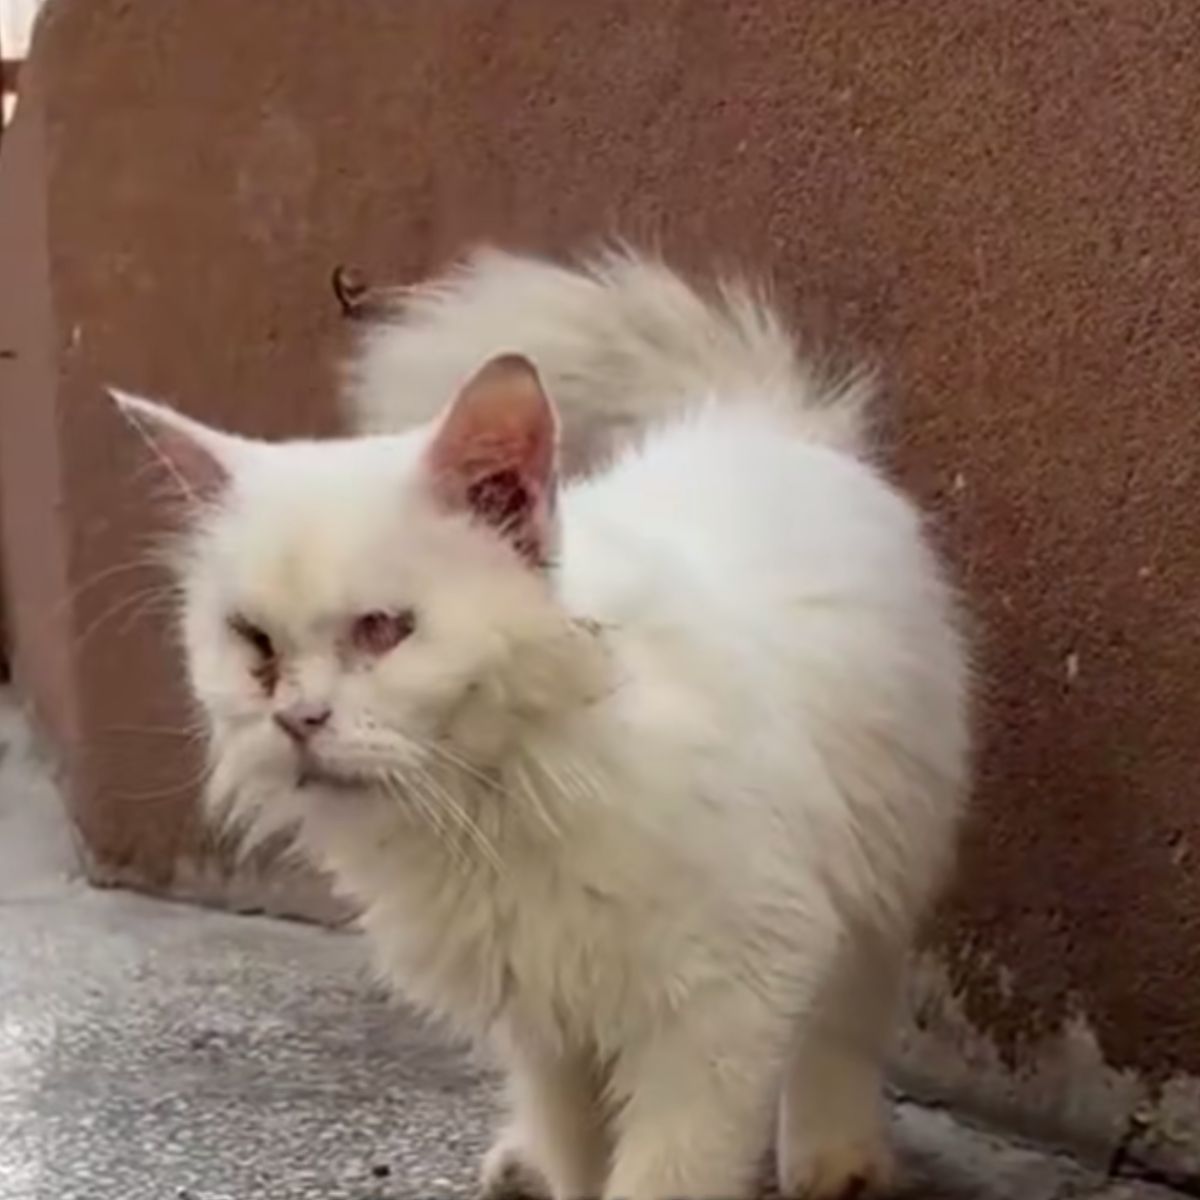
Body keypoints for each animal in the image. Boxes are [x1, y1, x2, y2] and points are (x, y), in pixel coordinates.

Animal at [112, 248, 969, 1195]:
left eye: (383, 629)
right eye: (255, 643)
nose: (297, 718)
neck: (507, 790)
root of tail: (753, 420)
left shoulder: (724, 1001)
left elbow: (664, 1175)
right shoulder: (550, 1024)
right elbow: (580, 1157)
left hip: (881, 863)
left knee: (844, 1023)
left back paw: (835, 1162)